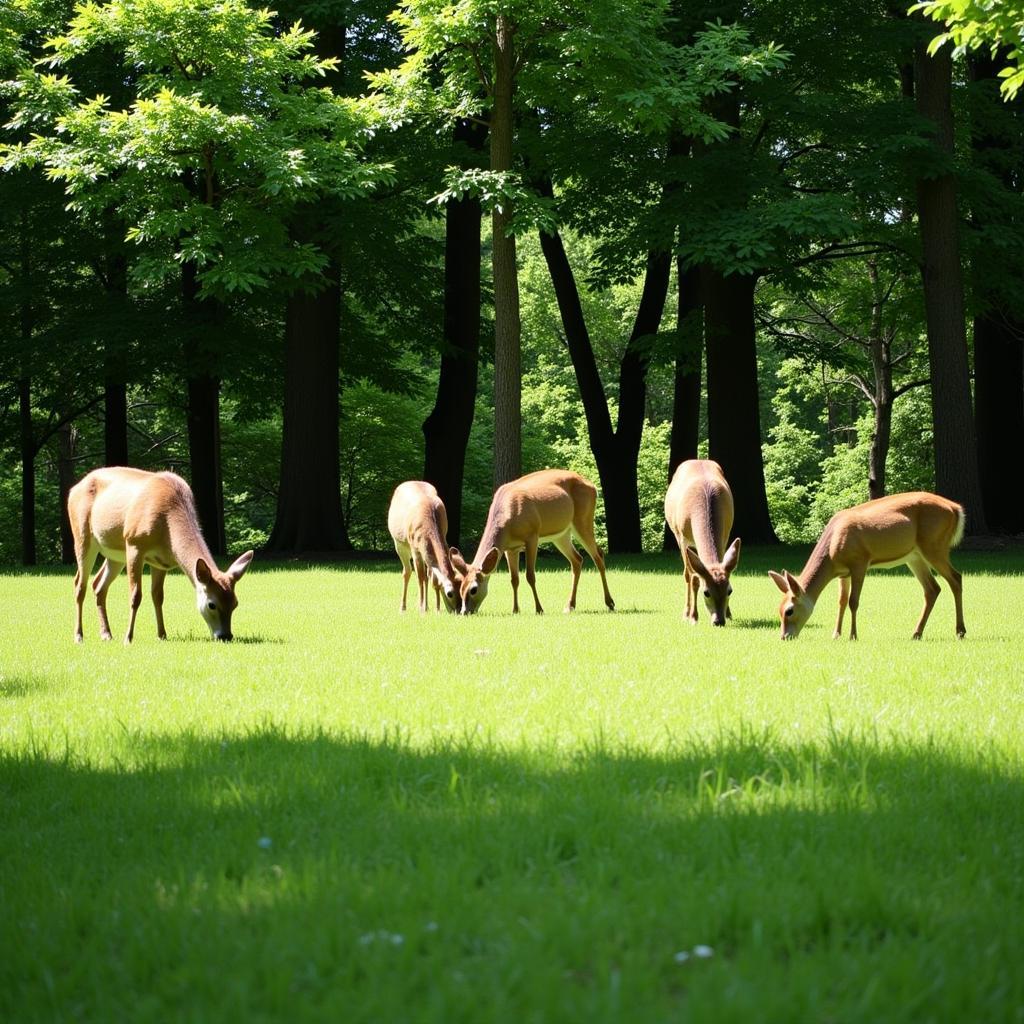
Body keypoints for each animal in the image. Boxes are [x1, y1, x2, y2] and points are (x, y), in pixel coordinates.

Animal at [68, 468, 253, 643]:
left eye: (235, 603)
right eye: (212, 604)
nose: (226, 636)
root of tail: (72, 489)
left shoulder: (161, 561)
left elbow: (158, 596)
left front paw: (162, 634)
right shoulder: (134, 543)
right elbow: (135, 595)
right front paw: (128, 638)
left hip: (115, 554)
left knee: (98, 584)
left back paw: (106, 634)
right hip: (82, 536)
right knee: (79, 584)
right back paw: (78, 636)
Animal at [387, 481, 460, 610]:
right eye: (450, 593)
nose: (457, 610)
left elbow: (433, 579)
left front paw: (436, 608)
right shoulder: (415, 548)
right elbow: (420, 577)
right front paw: (421, 608)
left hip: (424, 550)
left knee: (426, 575)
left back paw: (425, 606)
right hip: (400, 544)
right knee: (407, 571)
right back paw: (403, 607)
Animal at [450, 468, 610, 614]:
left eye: (473, 589)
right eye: (460, 587)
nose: (464, 612)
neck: (507, 522)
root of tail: (592, 486)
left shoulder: (532, 536)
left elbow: (530, 576)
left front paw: (539, 609)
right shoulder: (510, 548)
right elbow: (514, 579)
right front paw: (515, 610)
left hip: (583, 519)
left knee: (598, 555)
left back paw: (610, 602)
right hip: (561, 534)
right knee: (577, 559)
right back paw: (569, 606)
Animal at [667, 460, 741, 626]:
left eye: (730, 590)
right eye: (706, 592)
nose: (718, 621)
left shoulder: (725, 534)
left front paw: (729, 613)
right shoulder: (683, 538)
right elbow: (693, 578)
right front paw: (693, 617)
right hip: (677, 534)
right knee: (687, 575)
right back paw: (686, 613)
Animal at [770, 489, 966, 638]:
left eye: (789, 610)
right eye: (778, 610)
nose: (784, 637)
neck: (832, 549)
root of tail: (955, 509)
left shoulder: (860, 562)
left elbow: (853, 601)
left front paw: (853, 635)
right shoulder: (843, 572)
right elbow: (841, 601)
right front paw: (836, 634)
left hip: (935, 545)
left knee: (956, 578)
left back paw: (960, 631)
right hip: (915, 556)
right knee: (932, 589)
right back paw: (916, 633)